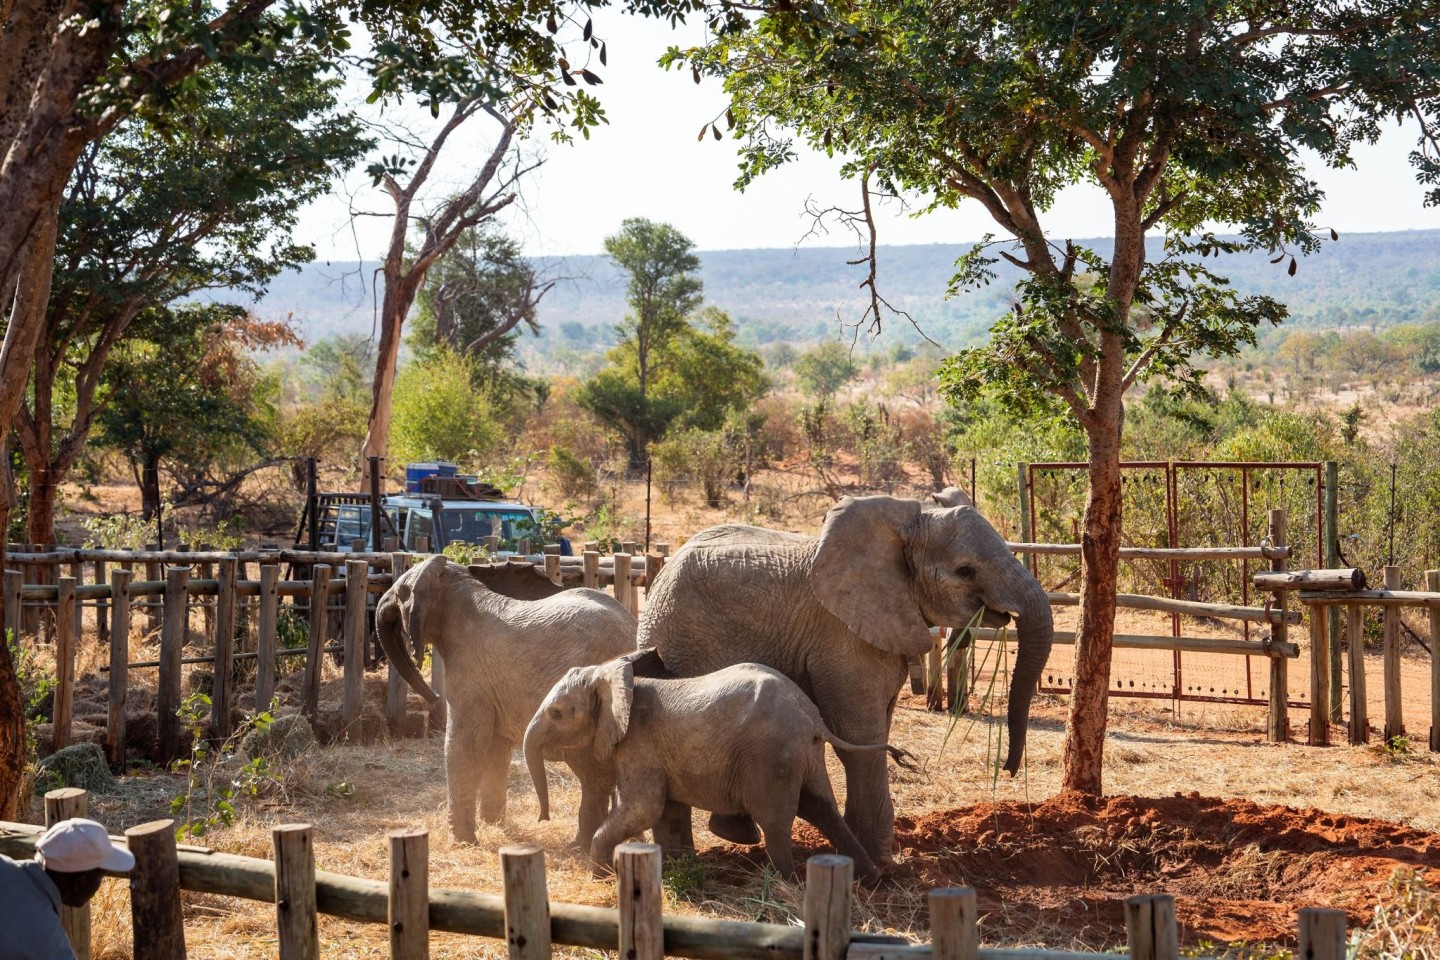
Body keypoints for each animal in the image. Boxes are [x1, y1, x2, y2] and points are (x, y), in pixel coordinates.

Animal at [377, 555, 636, 840]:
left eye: (401, 592)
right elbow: (496, 750)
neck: (461, 584)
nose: (432, 696)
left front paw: (464, 841)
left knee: (592, 775)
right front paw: (493, 827)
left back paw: (581, 846)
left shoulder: (470, 672)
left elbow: (465, 746)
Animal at [521, 656, 875, 880]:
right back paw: (869, 878)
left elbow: (643, 809)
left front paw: (601, 877)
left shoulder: (638, 744)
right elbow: (666, 813)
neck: (613, 675)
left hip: (770, 755)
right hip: (804, 753)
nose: (542, 819)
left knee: (776, 821)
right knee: (821, 807)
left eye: (556, 713)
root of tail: (812, 716)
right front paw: (674, 870)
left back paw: (784, 885)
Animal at [642, 489, 1059, 863]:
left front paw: (865, 851)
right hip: (684, 642)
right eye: (965, 571)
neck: (905, 526)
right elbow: (860, 736)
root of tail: (660, 572)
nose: (1005, 769)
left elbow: (874, 733)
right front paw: (882, 863)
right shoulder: (842, 638)